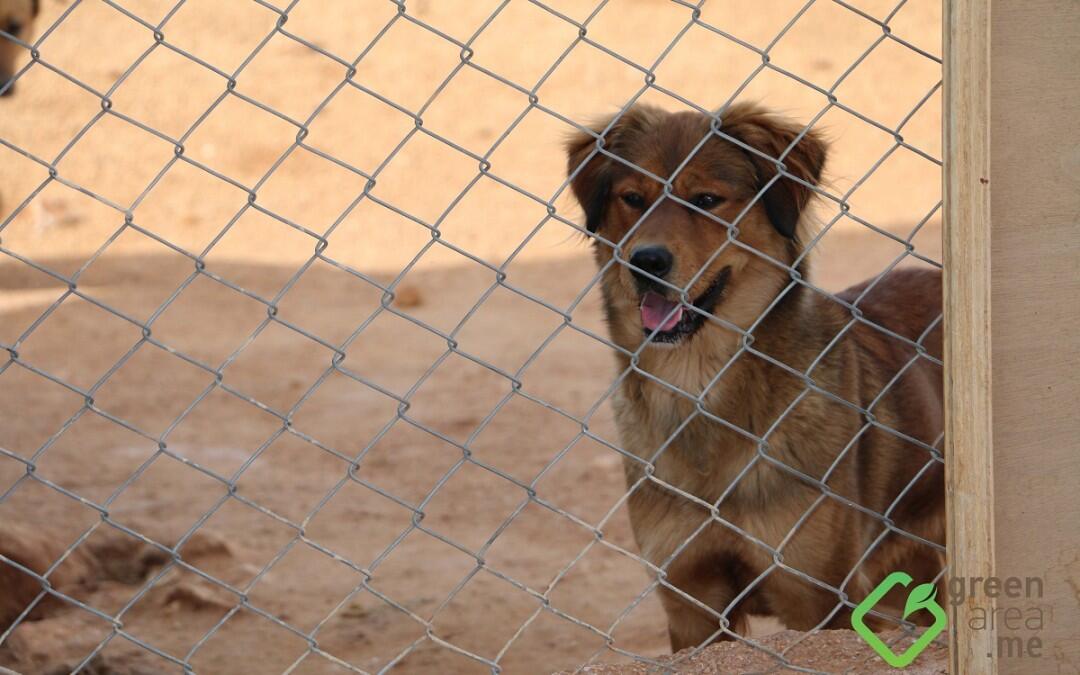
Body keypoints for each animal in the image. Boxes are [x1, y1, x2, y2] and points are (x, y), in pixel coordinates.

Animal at [565, 104, 946, 648]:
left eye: (707, 200)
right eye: (633, 199)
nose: (646, 262)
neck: (699, 392)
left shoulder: (821, 601)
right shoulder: (692, 604)